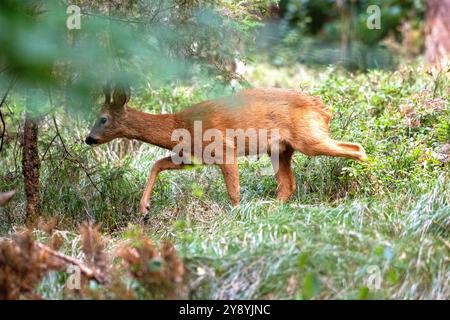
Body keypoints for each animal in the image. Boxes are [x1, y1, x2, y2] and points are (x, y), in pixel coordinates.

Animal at [86, 85, 368, 215]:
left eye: (103, 119)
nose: (88, 139)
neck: (178, 125)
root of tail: (324, 110)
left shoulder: (224, 149)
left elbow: (233, 192)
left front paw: (235, 217)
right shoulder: (193, 157)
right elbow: (157, 164)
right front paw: (144, 208)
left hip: (309, 139)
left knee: (357, 147)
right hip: (281, 150)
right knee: (288, 185)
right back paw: (269, 209)